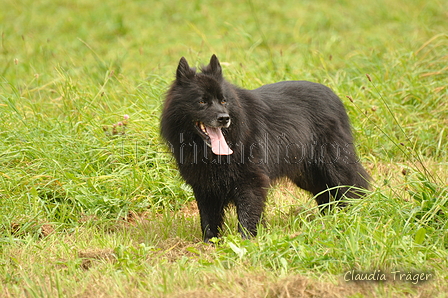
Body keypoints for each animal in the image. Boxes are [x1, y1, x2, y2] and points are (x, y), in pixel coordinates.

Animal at [159, 55, 370, 242]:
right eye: (202, 101)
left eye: (223, 100)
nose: (224, 118)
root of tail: (334, 96)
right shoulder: (204, 187)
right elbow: (208, 221)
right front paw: (210, 244)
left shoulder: (250, 181)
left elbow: (247, 216)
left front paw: (246, 242)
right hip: (307, 174)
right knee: (326, 194)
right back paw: (328, 219)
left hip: (333, 165)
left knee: (352, 186)